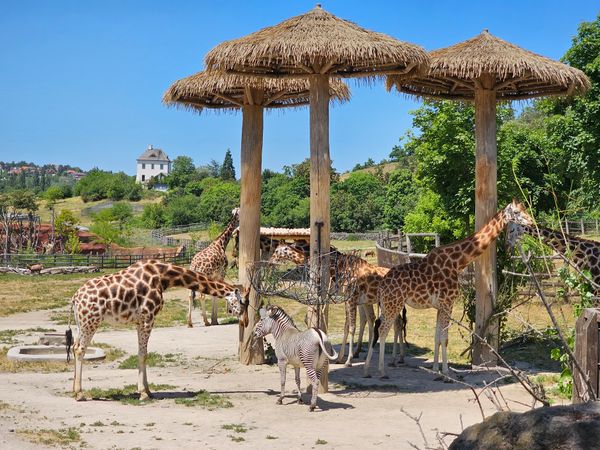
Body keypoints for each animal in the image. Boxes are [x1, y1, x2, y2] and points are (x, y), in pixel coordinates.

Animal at [70, 258, 248, 402]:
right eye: (243, 302)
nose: (246, 322)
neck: (164, 276)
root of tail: (75, 299)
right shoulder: (148, 317)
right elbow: (143, 354)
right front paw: (143, 393)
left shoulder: (140, 321)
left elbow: (143, 354)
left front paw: (148, 391)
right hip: (91, 322)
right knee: (80, 349)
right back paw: (80, 394)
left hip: (82, 324)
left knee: (74, 346)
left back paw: (74, 391)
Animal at [366, 199, 536, 378]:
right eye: (516, 212)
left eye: (524, 209)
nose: (531, 222)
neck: (458, 262)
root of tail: (382, 285)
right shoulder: (448, 303)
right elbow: (444, 338)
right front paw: (446, 373)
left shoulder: (440, 306)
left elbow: (437, 337)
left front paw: (436, 369)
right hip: (394, 303)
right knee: (383, 330)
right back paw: (382, 370)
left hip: (387, 304)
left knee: (377, 327)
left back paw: (367, 369)